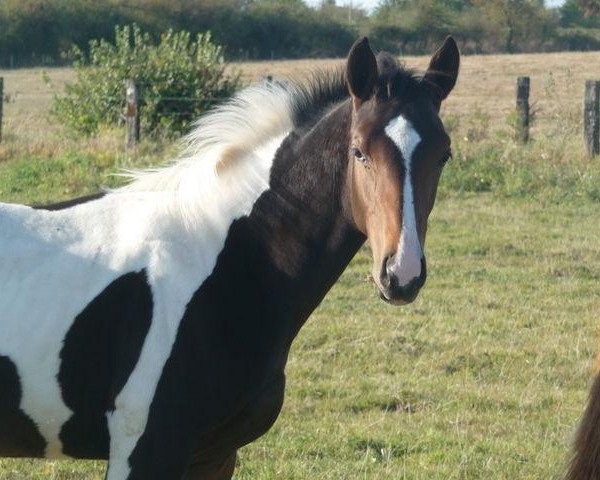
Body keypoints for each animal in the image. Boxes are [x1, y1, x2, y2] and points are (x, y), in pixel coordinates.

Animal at [0, 35, 460, 478]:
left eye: (444, 155)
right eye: (359, 152)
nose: (401, 273)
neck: (223, 263)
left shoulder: (215, 455)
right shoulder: (145, 450)